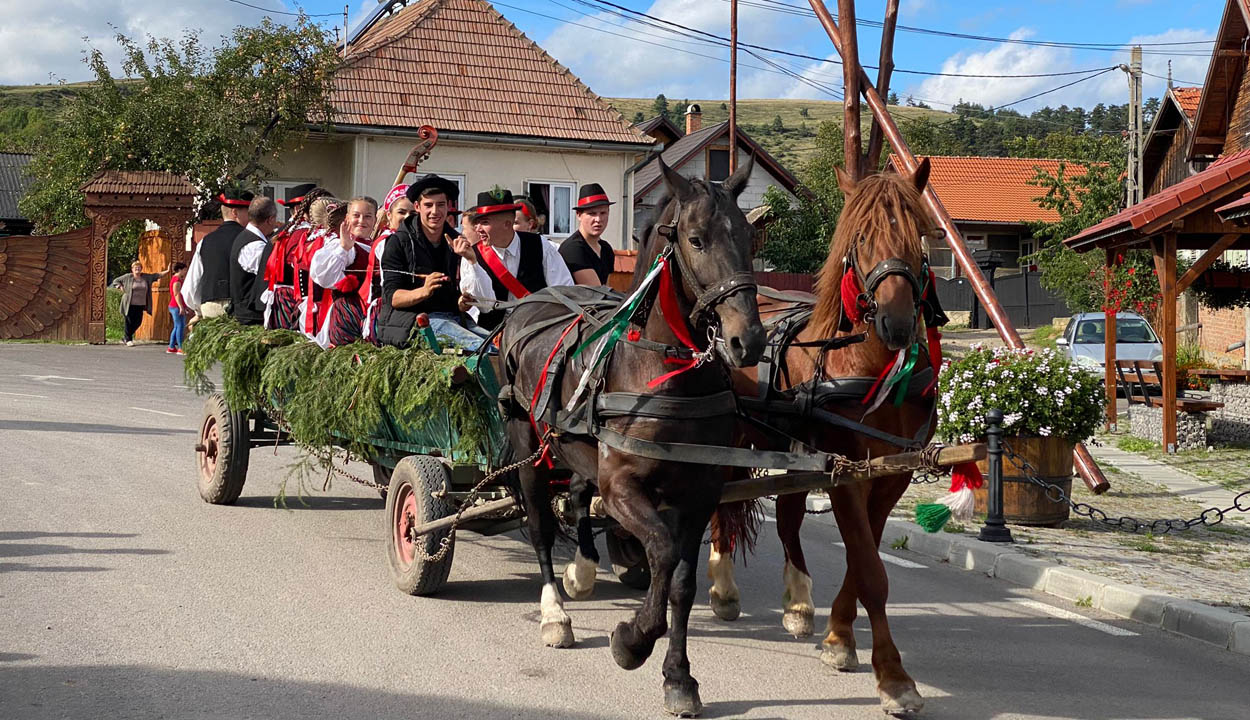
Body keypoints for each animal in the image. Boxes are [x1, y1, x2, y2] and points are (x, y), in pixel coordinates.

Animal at [710, 162, 940, 715]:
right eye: (861, 238)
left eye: (920, 233)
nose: (897, 323)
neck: (869, 364)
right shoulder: (846, 472)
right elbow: (871, 571)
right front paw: (893, 677)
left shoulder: (890, 474)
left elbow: (864, 558)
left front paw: (839, 636)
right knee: (718, 501)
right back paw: (723, 588)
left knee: (787, 514)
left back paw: (797, 599)